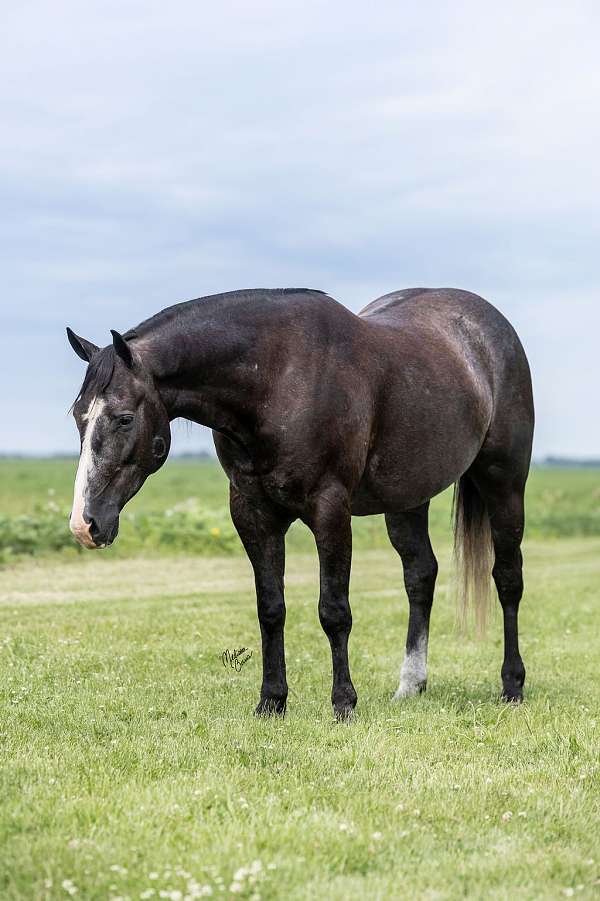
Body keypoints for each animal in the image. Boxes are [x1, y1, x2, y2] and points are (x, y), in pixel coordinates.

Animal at [67, 287, 534, 718]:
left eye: (125, 418)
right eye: (78, 416)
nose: (84, 525)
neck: (277, 379)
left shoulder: (330, 511)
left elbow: (334, 611)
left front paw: (343, 703)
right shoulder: (253, 513)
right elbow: (271, 609)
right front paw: (271, 701)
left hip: (503, 484)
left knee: (508, 579)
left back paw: (512, 686)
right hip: (407, 499)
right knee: (420, 576)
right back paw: (410, 685)